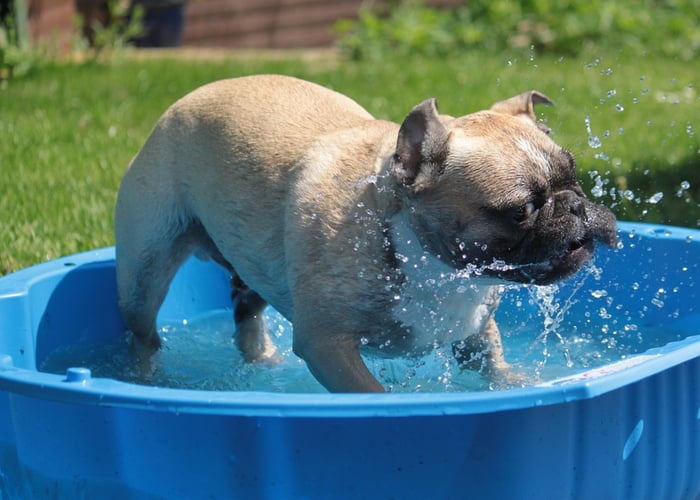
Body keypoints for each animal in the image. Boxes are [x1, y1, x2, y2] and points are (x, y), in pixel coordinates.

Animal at [116, 74, 616, 394]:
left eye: (575, 177)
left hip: (256, 260)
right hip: (144, 270)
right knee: (143, 334)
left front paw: (516, 383)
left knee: (246, 310)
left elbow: (492, 364)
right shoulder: (327, 347)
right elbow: (371, 392)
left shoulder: (475, 330)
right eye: (521, 211)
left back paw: (264, 361)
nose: (576, 205)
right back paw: (148, 379)